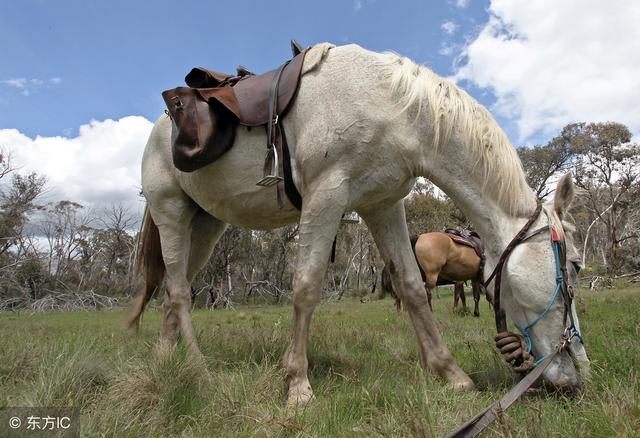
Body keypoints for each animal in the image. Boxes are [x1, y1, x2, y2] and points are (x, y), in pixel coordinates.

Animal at [129, 42, 592, 406]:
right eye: (573, 266)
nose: (576, 376)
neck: (389, 105)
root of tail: (160, 126)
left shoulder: (383, 204)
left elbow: (411, 288)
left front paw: (450, 373)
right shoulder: (326, 197)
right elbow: (307, 285)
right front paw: (297, 385)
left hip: (205, 225)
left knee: (172, 291)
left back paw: (165, 361)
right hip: (171, 213)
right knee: (179, 292)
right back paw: (198, 369)